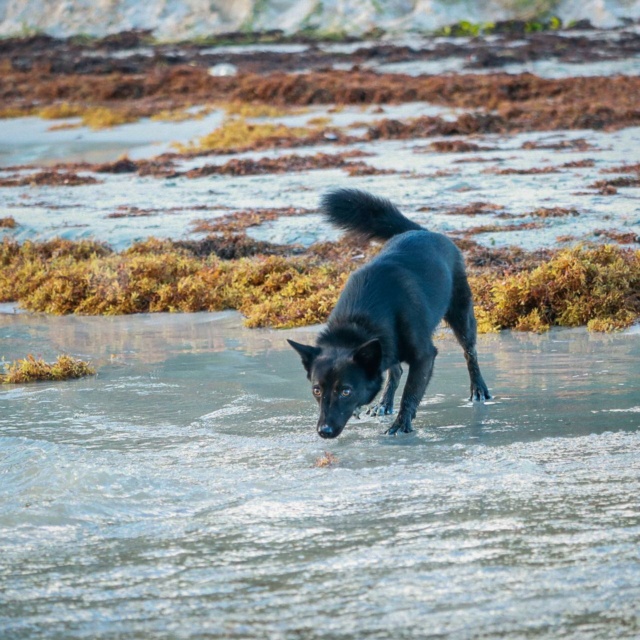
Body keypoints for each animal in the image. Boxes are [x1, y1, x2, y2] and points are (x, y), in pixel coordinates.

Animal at [288, 189, 492, 440]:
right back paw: (384, 403)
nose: (323, 431)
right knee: (396, 369)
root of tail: (424, 232)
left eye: (345, 391)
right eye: (317, 390)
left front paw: (401, 424)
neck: (358, 320)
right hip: (387, 347)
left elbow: (410, 394)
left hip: (461, 316)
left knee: (470, 352)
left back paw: (479, 389)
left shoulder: (424, 356)